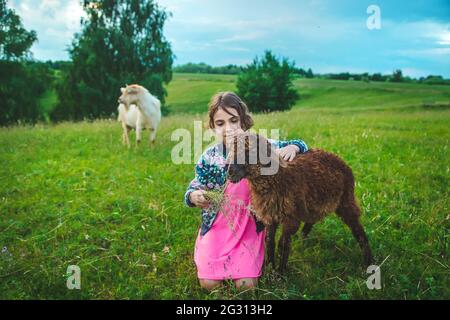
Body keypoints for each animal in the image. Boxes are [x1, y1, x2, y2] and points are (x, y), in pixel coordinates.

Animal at [227, 131, 374, 274]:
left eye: (249, 152)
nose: (229, 173)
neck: (278, 179)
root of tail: (338, 158)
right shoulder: (270, 216)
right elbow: (269, 242)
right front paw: (270, 269)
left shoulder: (290, 218)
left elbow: (284, 244)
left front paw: (280, 273)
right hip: (314, 201)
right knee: (312, 219)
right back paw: (303, 239)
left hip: (346, 200)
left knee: (358, 230)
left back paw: (368, 262)